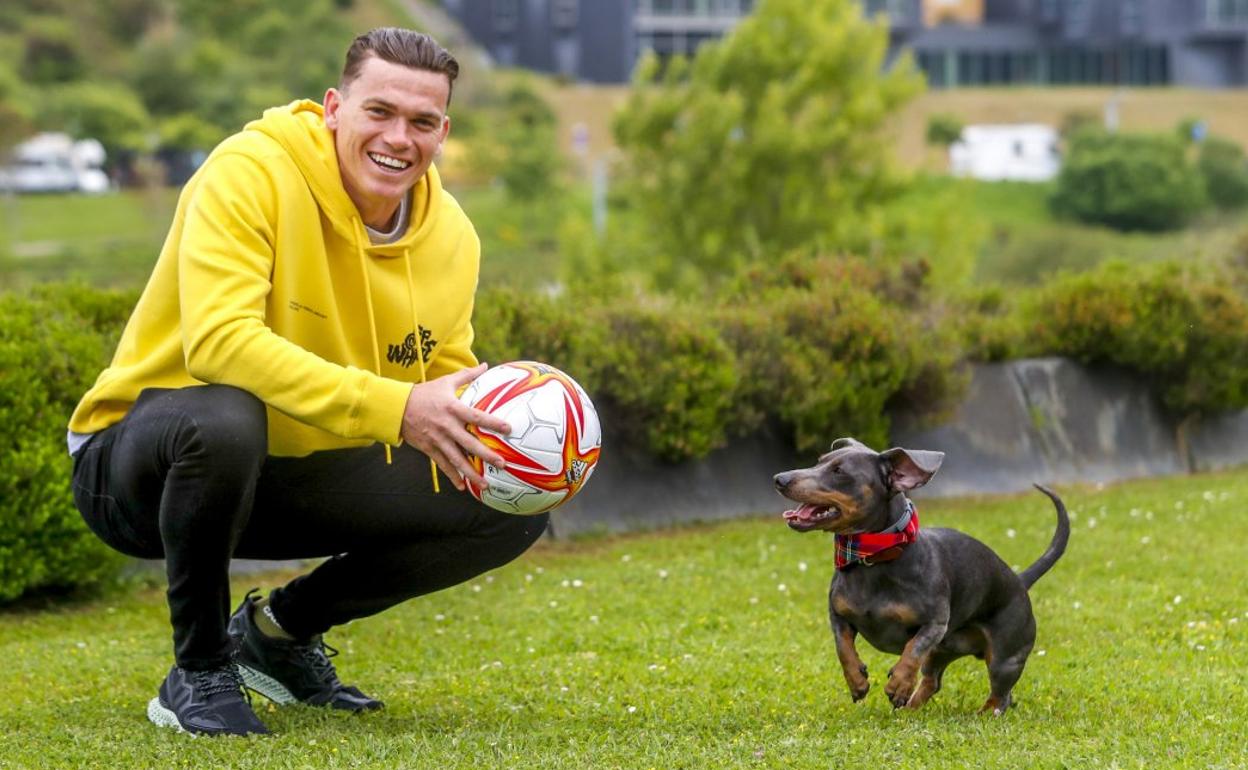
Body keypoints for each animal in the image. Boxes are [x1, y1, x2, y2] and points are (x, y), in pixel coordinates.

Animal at [768, 434, 1073, 713]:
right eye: (819, 461)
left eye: (839, 471)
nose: (780, 478)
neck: (873, 559)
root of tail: (1019, 581)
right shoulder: (838, 616)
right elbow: (842, 647)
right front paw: (858, 681)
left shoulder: (934, 624)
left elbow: (913, 649)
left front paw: (898, 683)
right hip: (943, 651)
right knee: (932, 681)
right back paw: (910, 707)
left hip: (1004, 659)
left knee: (1001, 695)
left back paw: (984, 713)